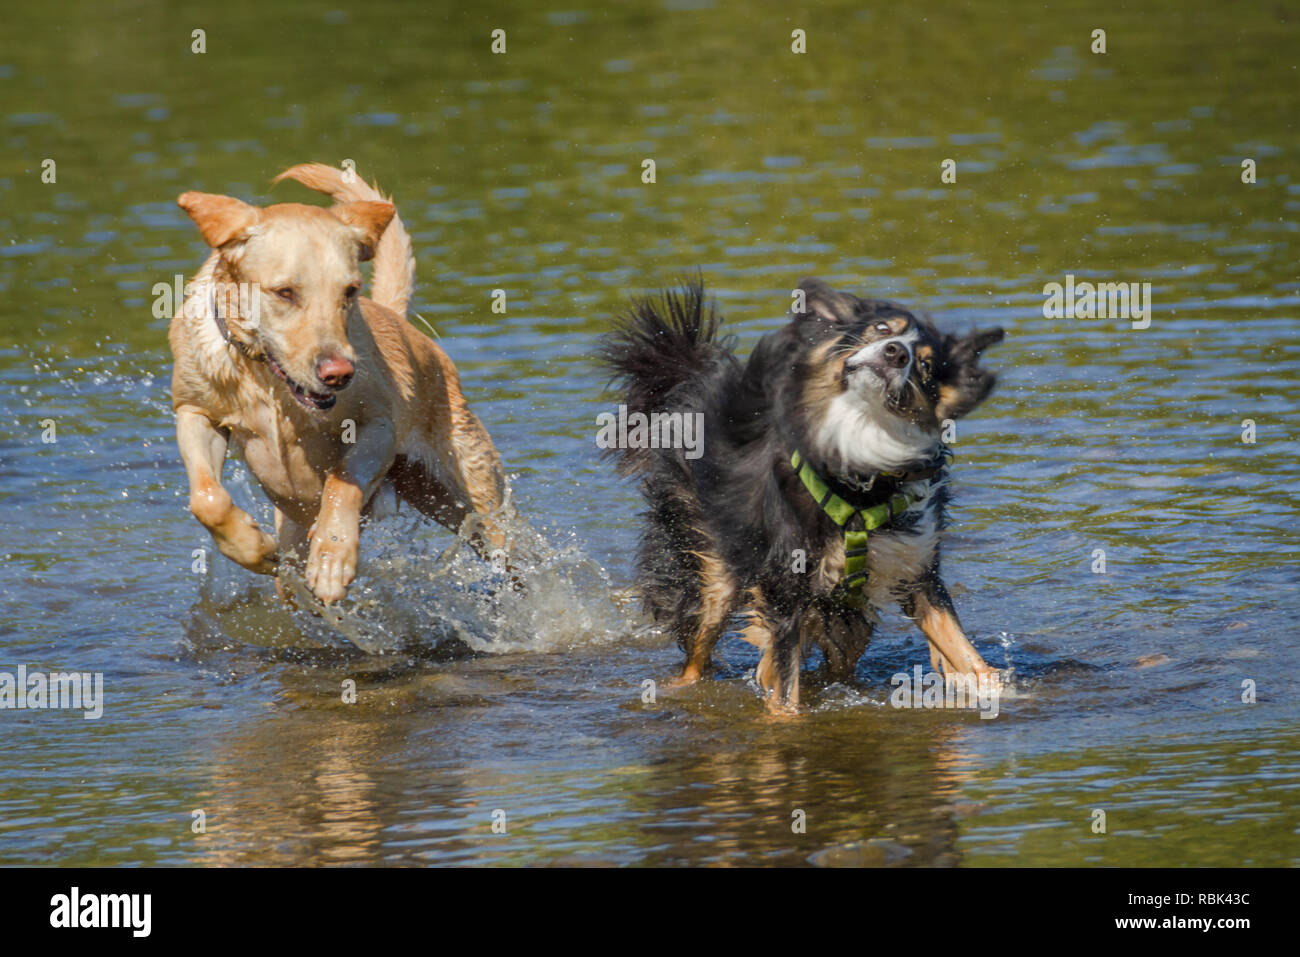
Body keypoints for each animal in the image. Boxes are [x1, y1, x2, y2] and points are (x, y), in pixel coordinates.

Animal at [600, 276, 1003, 712]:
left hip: (843, 617)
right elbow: (785, 694)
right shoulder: (785, 586)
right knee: (695, 656)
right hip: (712, 575)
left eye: (926, 365)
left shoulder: (916, 572)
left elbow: (970, 657)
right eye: (882, 329)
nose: (896, 353)